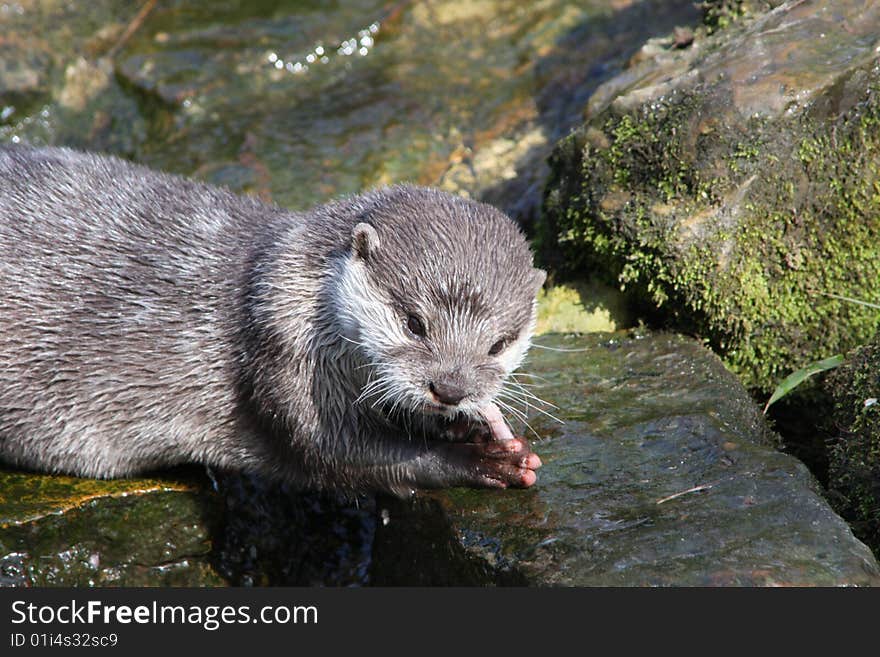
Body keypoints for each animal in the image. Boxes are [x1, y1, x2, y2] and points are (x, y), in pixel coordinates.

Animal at [0, 144, 548, 492]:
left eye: (500, 343)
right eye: (414, 322)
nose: (450, 389)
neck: (269, 285)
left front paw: (466, 429)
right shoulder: (280, 356)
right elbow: (338, 456)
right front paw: (482, 460)